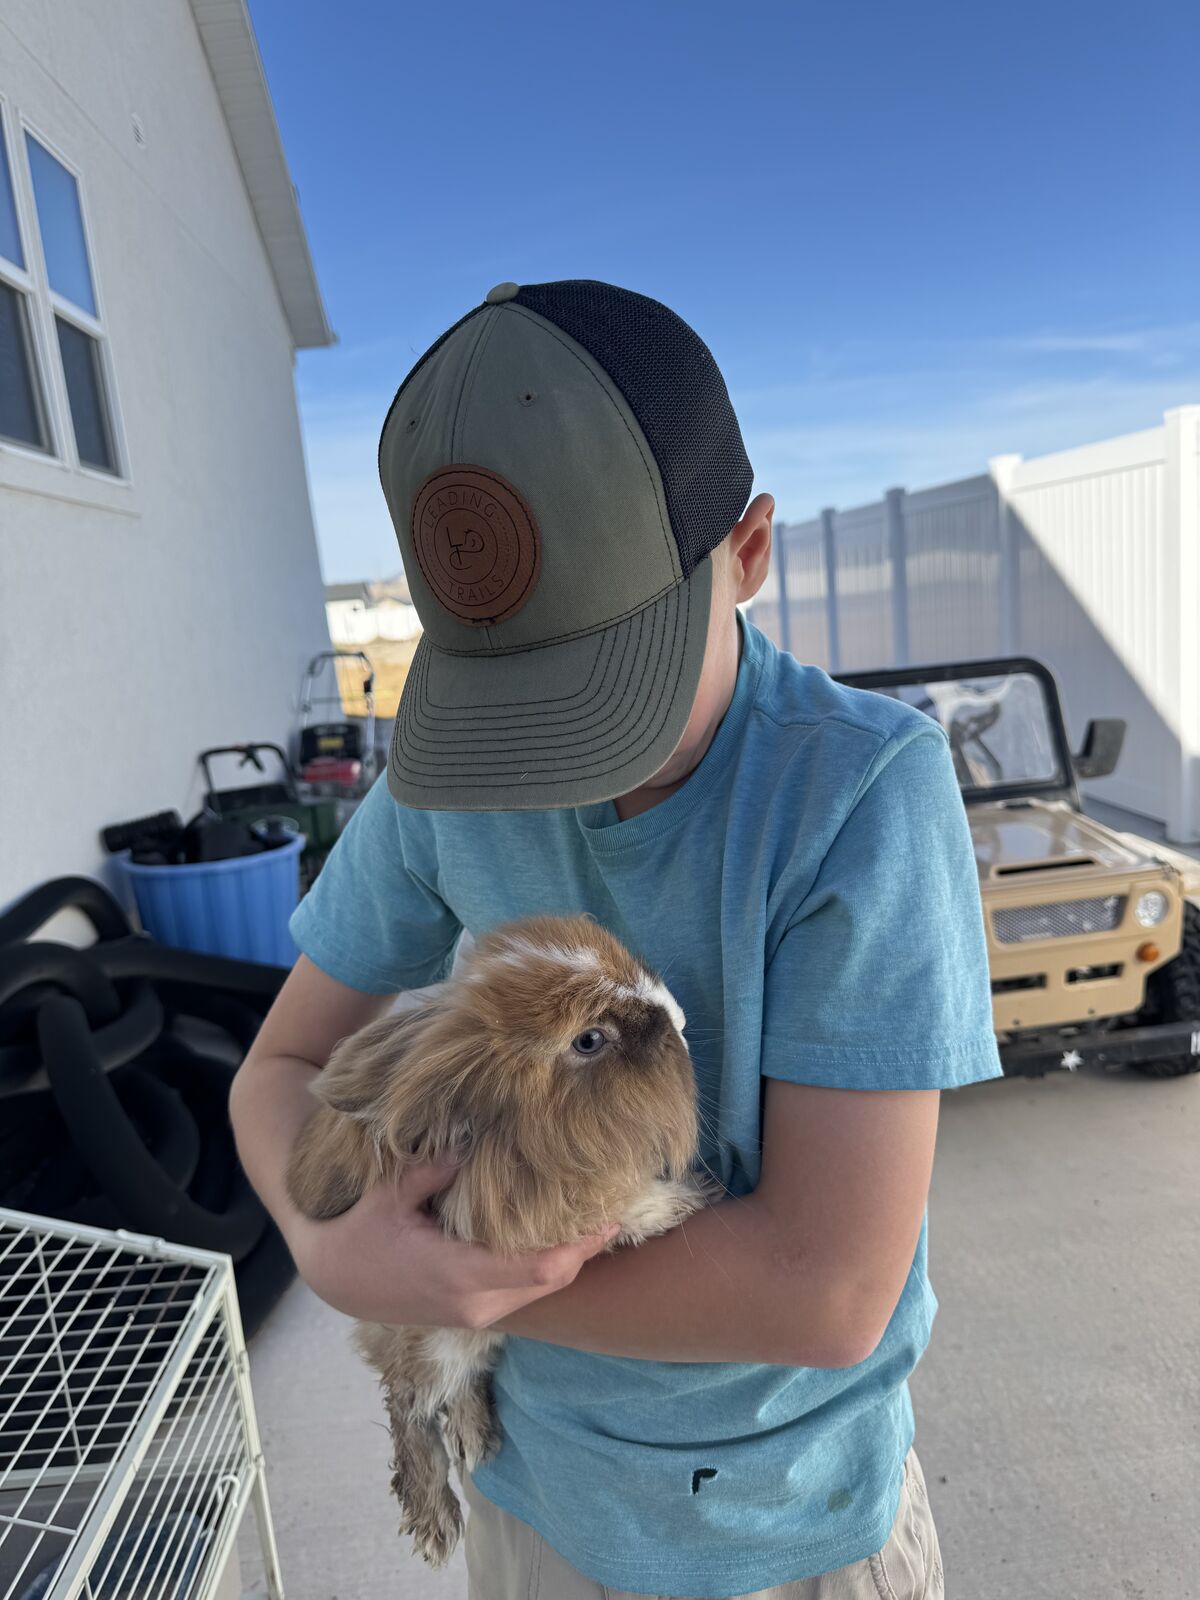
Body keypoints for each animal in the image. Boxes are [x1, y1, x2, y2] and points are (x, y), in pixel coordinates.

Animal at [285, 912, 715, 1568]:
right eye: (589, 1040)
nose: (680, 1016)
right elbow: (613, 1207)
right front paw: (679, 1204)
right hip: (421, 1337)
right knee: (410, 1406)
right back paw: (436, 1524)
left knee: (457, 1384)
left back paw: (475, 1439)